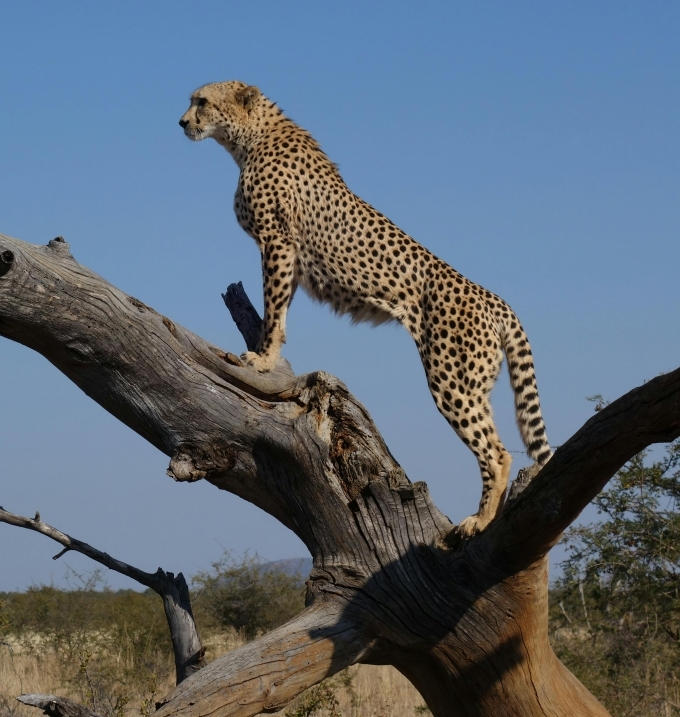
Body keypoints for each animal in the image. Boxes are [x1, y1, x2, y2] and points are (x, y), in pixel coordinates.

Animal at [179, 81, 552, 537]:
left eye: (202, 102)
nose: (182, 121)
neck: (250, 138)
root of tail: (494, 299)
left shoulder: (277, 243)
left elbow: (273, 306)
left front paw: (263, 360)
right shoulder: (289, 254)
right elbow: (280, 312)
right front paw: (270, 352)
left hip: (452, 380)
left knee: (498, 453)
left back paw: (479, 520)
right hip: (476, 384)